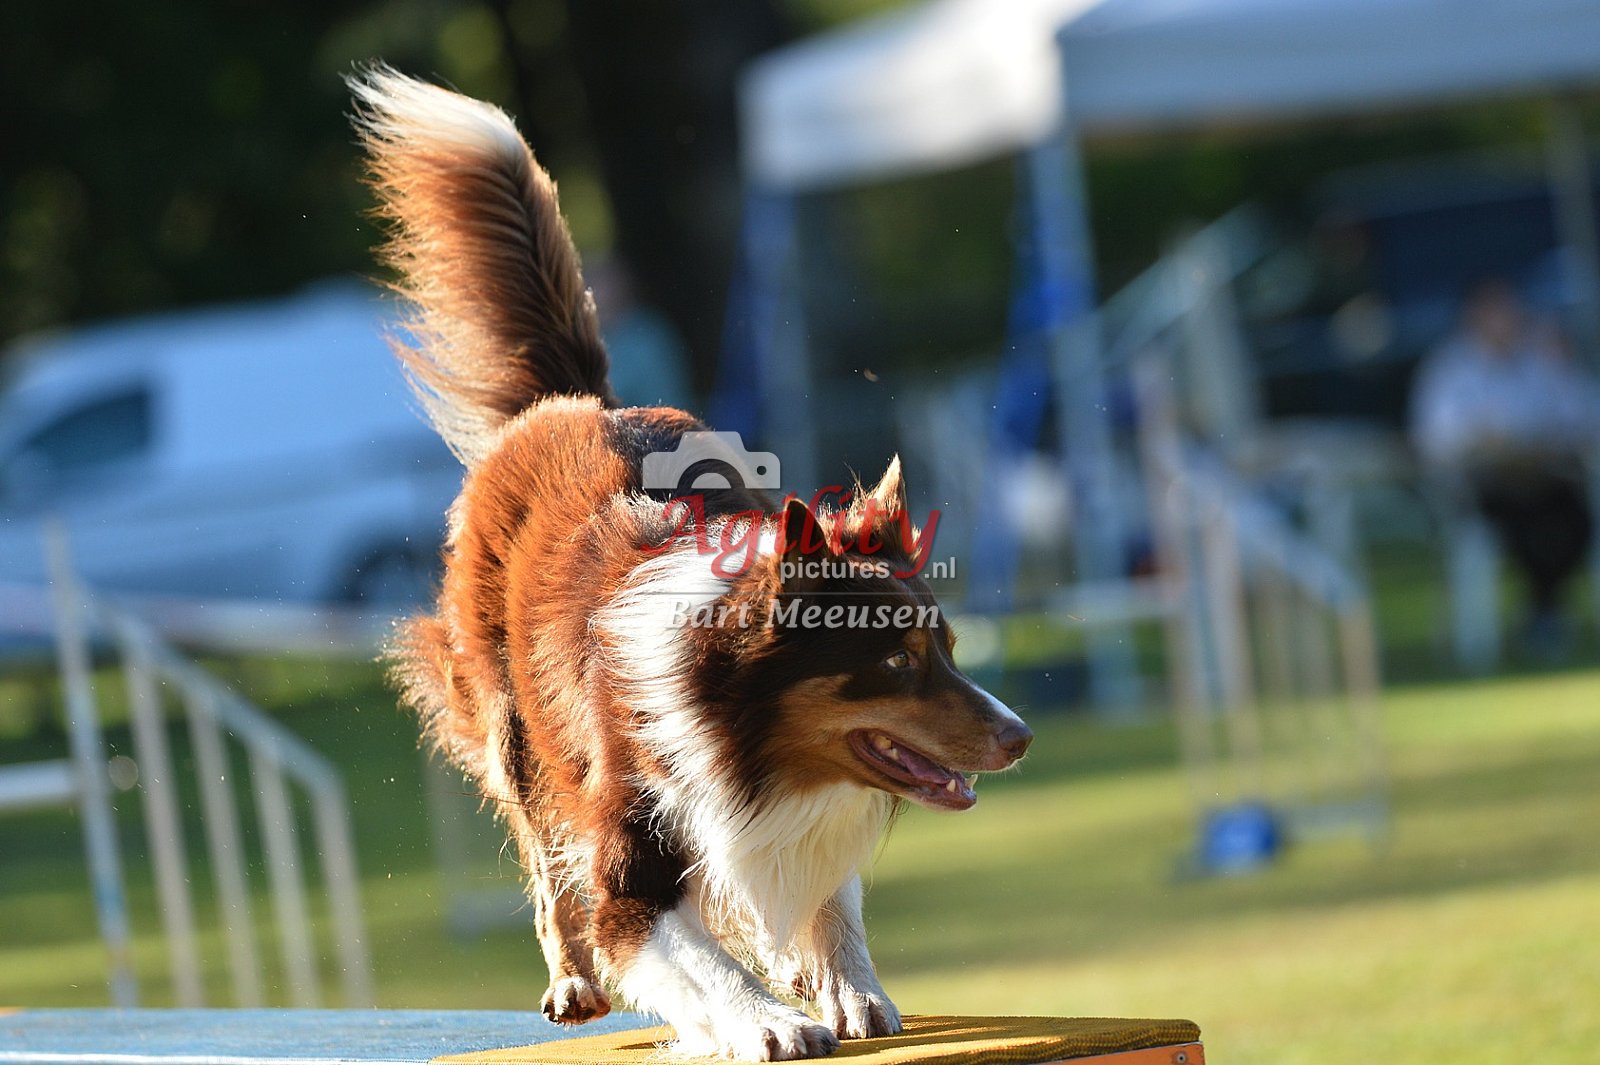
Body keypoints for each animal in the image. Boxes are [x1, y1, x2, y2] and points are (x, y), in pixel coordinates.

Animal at [351, 67, 1032, 1061]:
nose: (1020, 736)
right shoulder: (634, 839)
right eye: (895, 660)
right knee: (543, 855)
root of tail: (575, 401)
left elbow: (826, 892)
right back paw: (573, 980)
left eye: (946, 647)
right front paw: (767, 1018)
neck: (740, 726)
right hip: (514, 726)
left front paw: (845, 983)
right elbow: (681, 946)